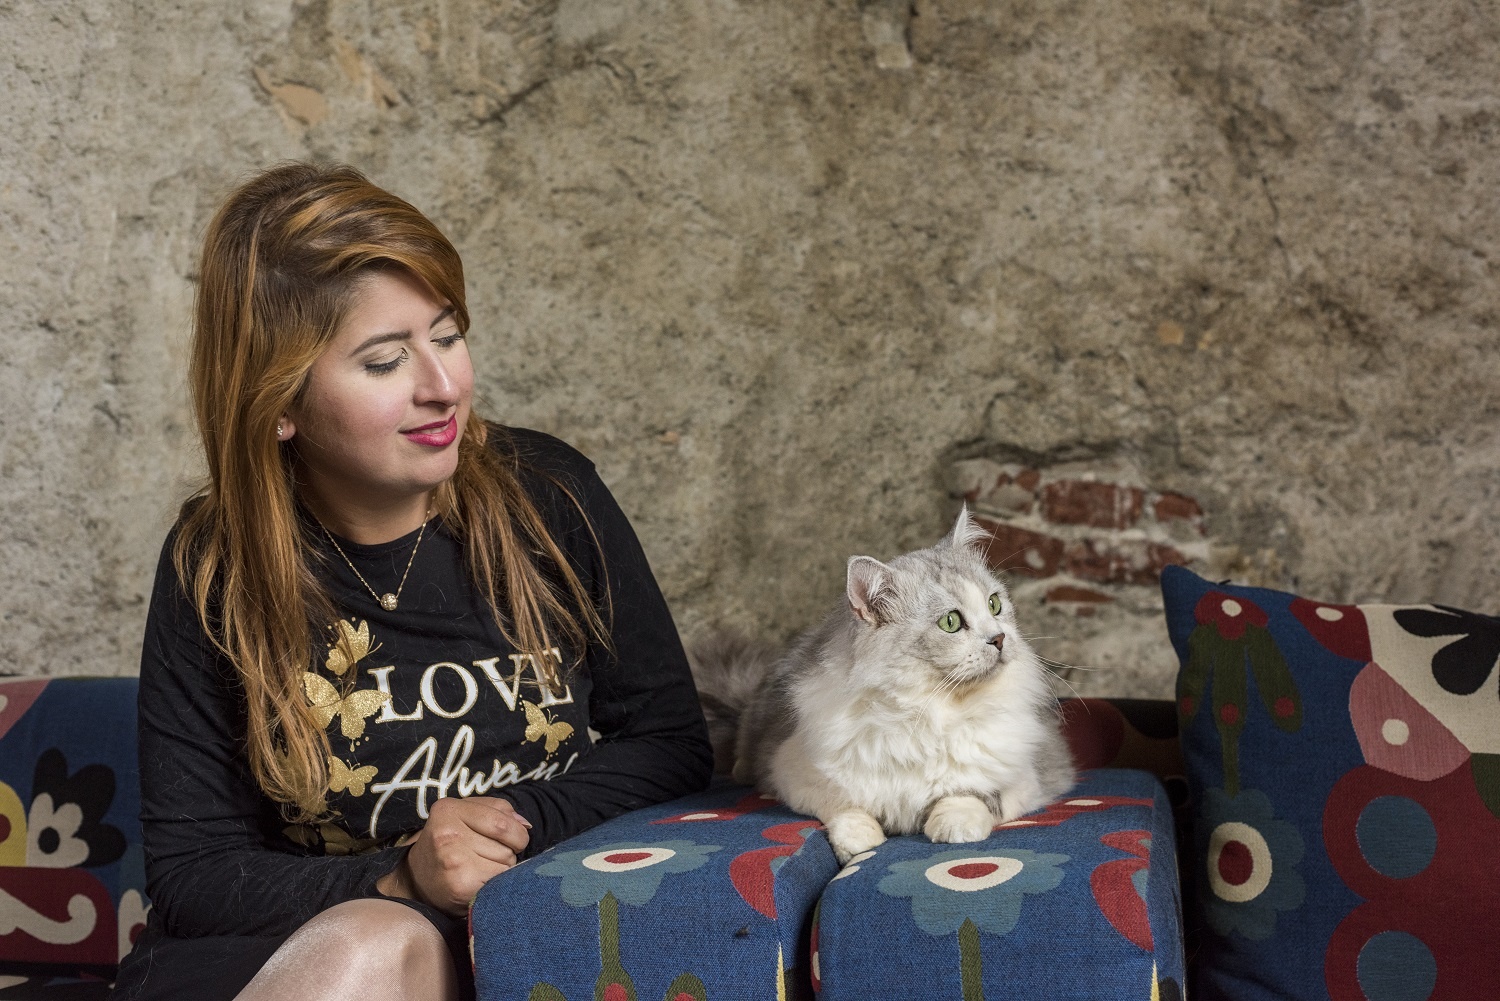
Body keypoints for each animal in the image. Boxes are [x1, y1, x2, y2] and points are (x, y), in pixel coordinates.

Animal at [690, 509, 1077, 863]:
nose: (999, 639)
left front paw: (953, 827)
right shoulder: (794, 771)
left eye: (994, 604)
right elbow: (844, 807)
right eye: (951, 622)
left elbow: (971, 793)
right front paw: (859, 841)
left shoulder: (1029, 774)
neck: (928, 710)